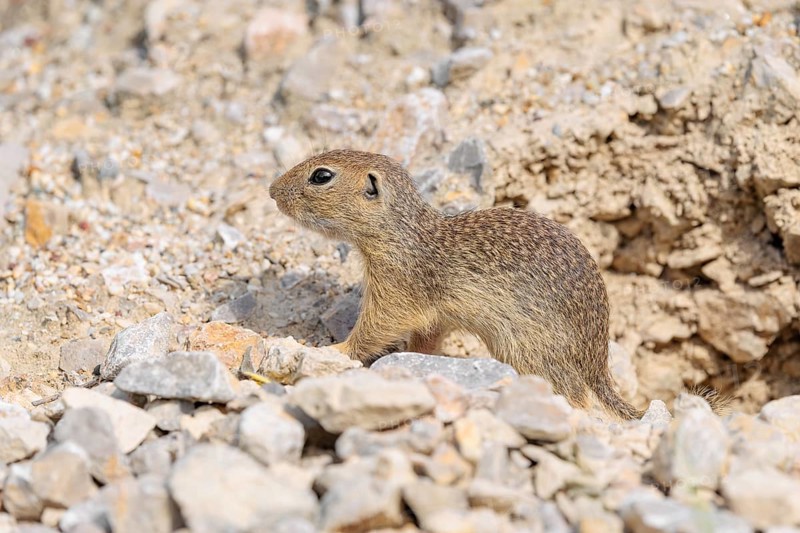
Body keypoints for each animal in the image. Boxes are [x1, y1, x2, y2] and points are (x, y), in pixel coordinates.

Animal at [269, 149, 642, 420]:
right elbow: (424, 341)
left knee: (578, 397)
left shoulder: (397, 289)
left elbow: (376, 327)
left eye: (321, 176)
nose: (272, 191)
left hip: (528, 350)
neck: (405, 232)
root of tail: (597, 361)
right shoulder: (435, 317)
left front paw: (334, 350)